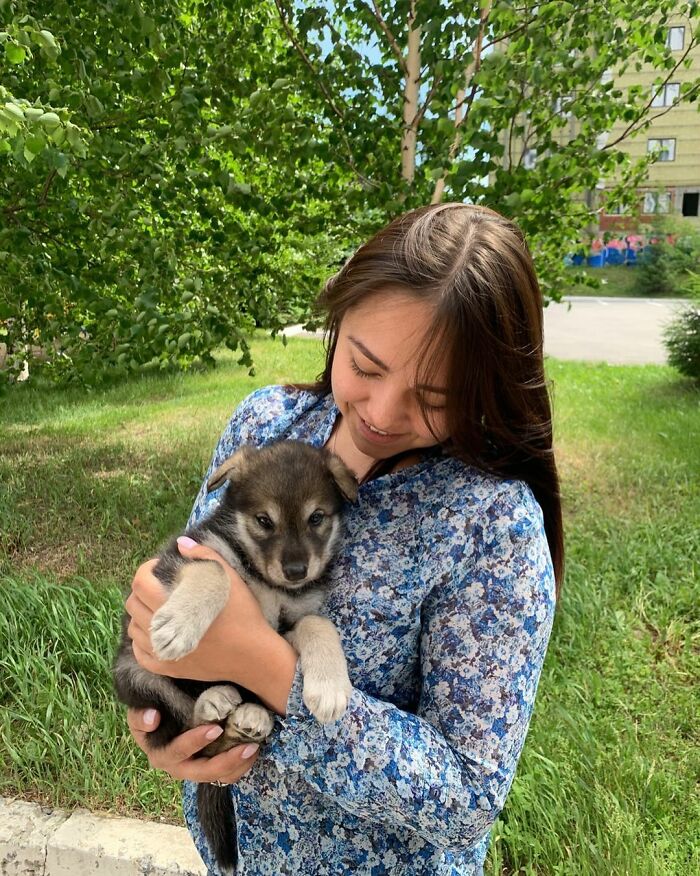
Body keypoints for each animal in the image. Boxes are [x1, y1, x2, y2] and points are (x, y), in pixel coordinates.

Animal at [115, 442, 358, 872]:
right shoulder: (185, 555)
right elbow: (214, 572)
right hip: (135, 676)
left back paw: (251, 717)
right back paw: (214, 700)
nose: (296, 571)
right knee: (187, 729)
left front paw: (329, 689)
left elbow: (319, 624)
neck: (264, 579)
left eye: (316, 518)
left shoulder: (290, 620)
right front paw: (179, 625)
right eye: (264, 520)